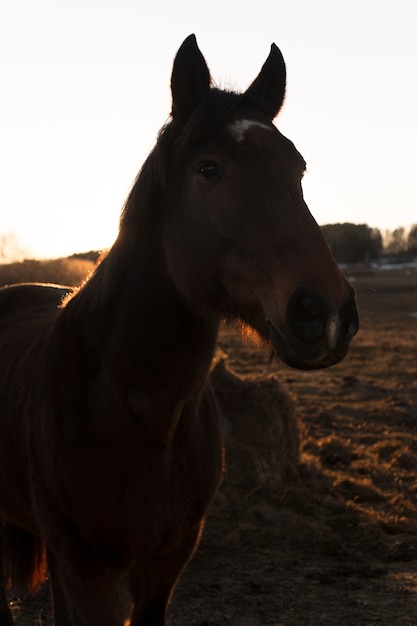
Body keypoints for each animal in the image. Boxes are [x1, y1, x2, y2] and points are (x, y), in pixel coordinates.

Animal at [0, 35, 358, 624]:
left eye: (298, 168)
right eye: (208, 169)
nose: (326, 312)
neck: (135, 412)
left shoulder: (164, 563)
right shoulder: (85, 566)